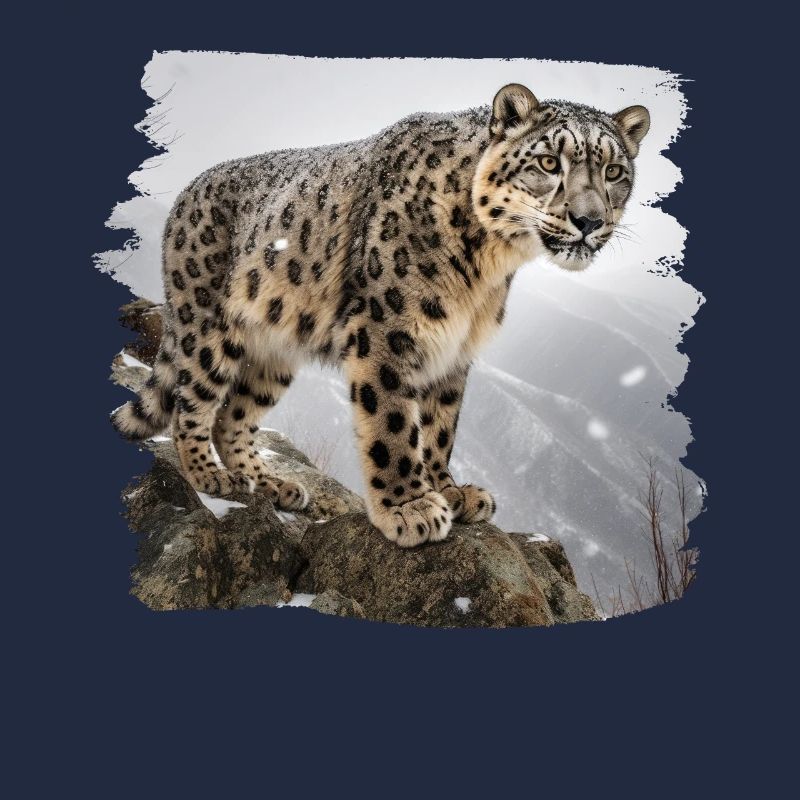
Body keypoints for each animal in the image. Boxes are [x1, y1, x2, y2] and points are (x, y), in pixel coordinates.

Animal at [112, 82, 650, 548]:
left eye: (614, 172)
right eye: (548, 161)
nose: (589, 220)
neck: (487, 267)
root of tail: (185, 193)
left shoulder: (454, 348)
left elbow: (441, 425)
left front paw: (450, 490)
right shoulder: (387, 329)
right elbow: (393, 420)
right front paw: (411, 508)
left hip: (275, 355)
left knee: (234, 417)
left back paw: (268, 483)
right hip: (208, 324)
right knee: (193, 402)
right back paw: (211, 476)